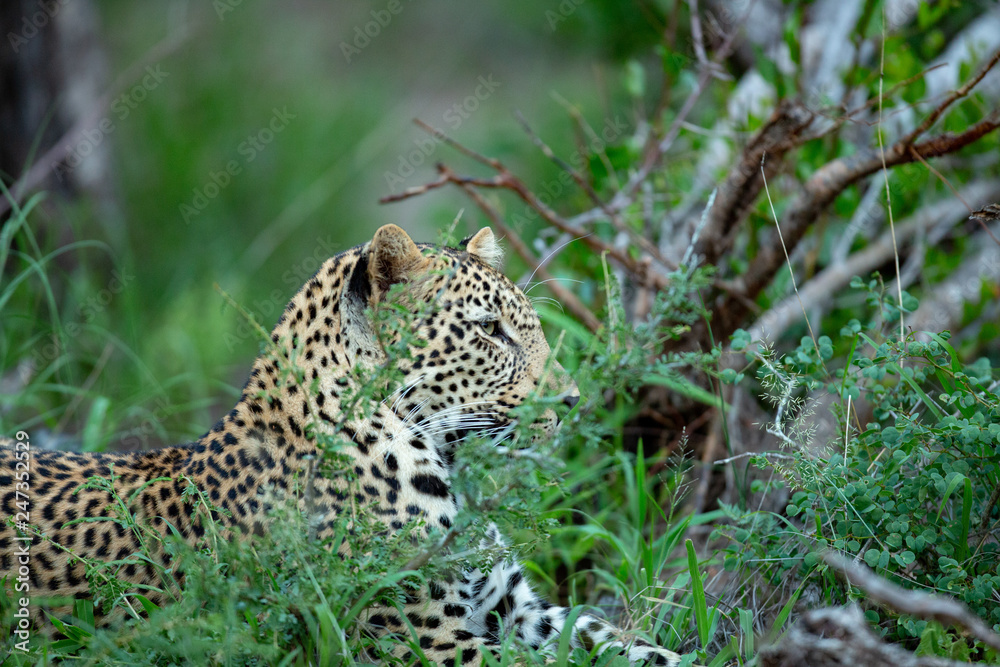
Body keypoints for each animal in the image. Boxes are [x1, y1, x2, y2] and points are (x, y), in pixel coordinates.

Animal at [1, 224, 681, 665]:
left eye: (532, 325)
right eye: (489, 330)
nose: (572, 400)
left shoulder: (518, 609)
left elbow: (617, 641)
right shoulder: (424, 636)